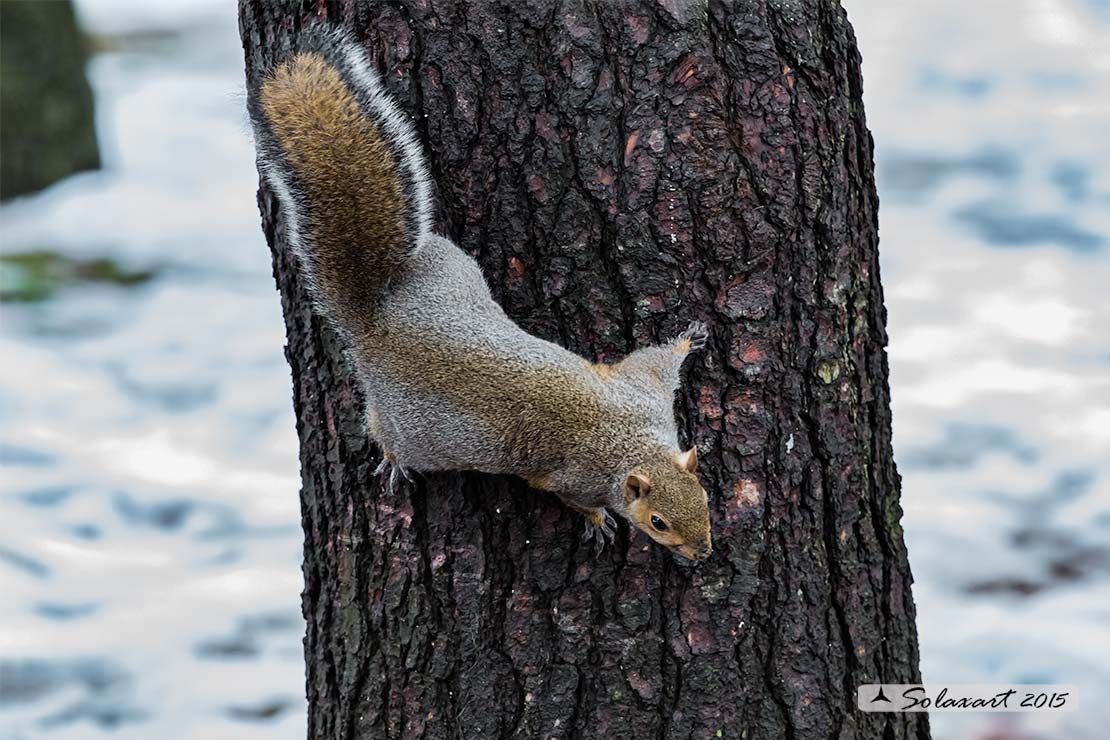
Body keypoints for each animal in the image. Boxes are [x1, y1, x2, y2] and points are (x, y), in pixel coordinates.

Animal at [247, 27, 710, 561]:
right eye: (657, 522)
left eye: (704, 498)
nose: (703, 553)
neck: (633, 442)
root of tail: (373, 320)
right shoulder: (576, 475)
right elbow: (574, 495)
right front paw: (597, 521)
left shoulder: (642, 393)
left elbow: (656, 360)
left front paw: (690, 339)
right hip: (416, 431)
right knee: (383, 429)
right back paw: (392, 458)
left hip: (452, 269)